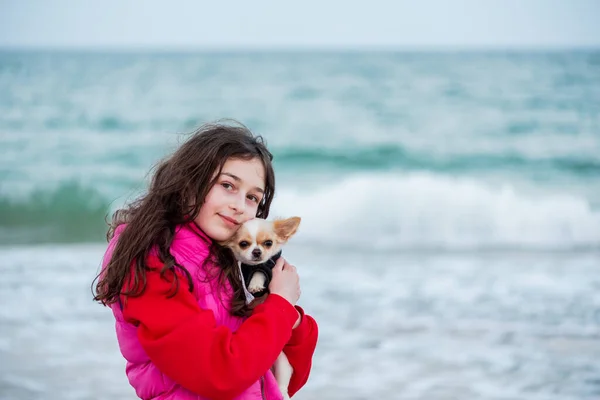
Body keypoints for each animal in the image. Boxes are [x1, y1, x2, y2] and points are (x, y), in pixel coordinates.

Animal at [219, 217, 300, 400]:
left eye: (268, 243)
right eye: (243, 244)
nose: (256, 252)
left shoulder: (266, 267)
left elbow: (259, 271)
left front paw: (255, 285)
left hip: (282, 362)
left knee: (283, 384)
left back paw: (283, 393)